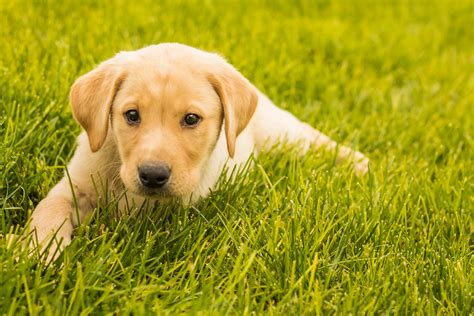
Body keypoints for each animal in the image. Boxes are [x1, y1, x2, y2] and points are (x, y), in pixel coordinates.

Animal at [25, 43, 368, 260]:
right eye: (131, 115)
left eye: (191, 119)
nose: (152, 175)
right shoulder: (74, 184)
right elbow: (48, 210)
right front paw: (38, 250)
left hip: (280, 132)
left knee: (309, 137)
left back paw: (357, 161)